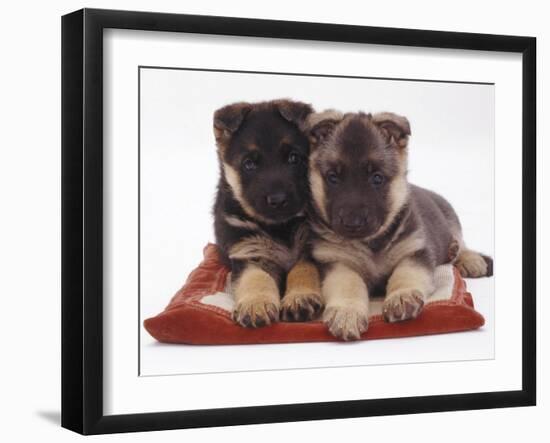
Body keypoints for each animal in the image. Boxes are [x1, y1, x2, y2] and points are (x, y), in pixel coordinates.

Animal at [213, 100, 326, 330]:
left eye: (293, 158)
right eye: (249, 164)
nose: (278, 200)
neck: (280, 227)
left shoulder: (309, 249)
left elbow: (303, 270)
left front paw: (299, 297)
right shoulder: (248, 253)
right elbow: (255, 278)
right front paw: (256, 304)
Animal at [308, 110, 494, 340]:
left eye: (377, 178)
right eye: (333, 177)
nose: (353, 223)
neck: (372, 243)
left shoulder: (414, 253)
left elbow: (405, 274)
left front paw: (401, 296)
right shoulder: (336, 263)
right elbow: (348, 284)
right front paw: (347, 311)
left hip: (451, 220)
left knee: (461, 242)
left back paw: (468, 258)